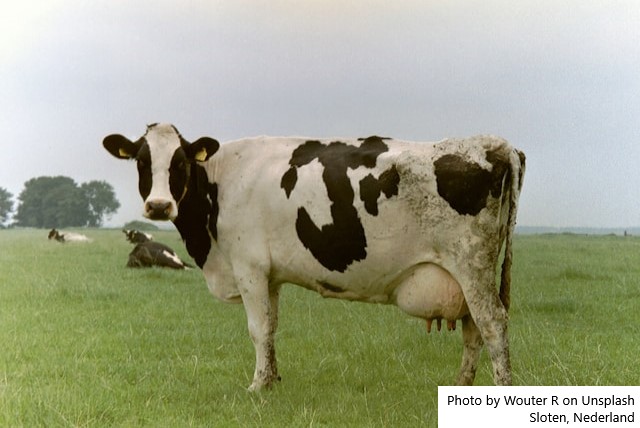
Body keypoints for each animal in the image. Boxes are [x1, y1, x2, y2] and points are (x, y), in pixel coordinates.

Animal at [103, 123, 525, 391]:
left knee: (492, 325)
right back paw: (461, 387)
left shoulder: (249, 267)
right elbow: (271, 328)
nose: (159, 206)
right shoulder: (269, 274)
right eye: (141, 162)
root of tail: (489, 143)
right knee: (473, 330)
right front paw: (272, 380)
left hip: (471, 265)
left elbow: (257, 329)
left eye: (179, 162)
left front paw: (257, 386)